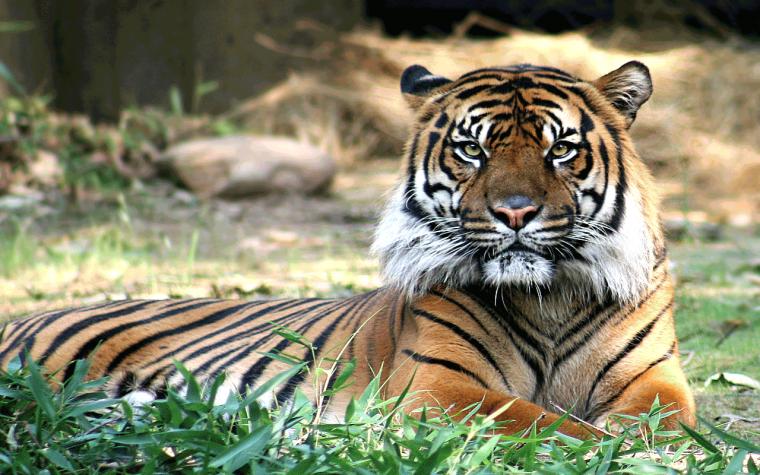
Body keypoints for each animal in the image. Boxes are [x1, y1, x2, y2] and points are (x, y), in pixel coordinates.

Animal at [0, 61, 695, 439]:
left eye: (560, 149)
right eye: (472, 149)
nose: (515, 212)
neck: (546, 296)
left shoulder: (655, 379)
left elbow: (652, 420)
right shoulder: (440, 387)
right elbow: (549, 421)